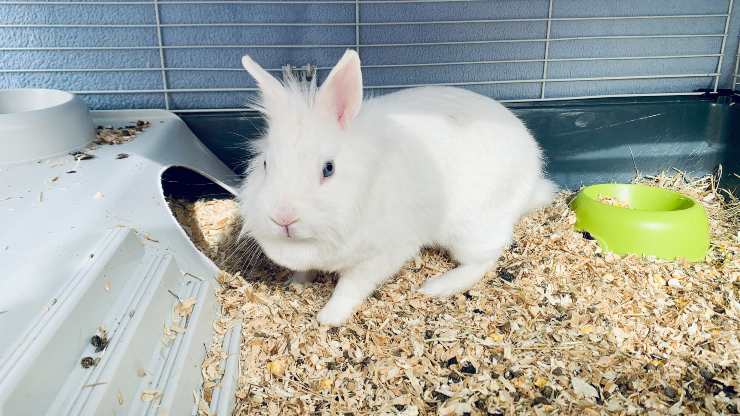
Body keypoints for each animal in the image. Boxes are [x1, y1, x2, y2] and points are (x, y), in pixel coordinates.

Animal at [238, 49, 557, 326]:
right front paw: (295, 285)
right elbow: (304, 271)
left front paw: (328, 318)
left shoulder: (379, 257)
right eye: (265, 164)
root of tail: (533, 173)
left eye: (328, 168)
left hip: (473, 227)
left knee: (484, 259)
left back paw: (436, 287)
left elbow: (350, 287)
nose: (283, 218)